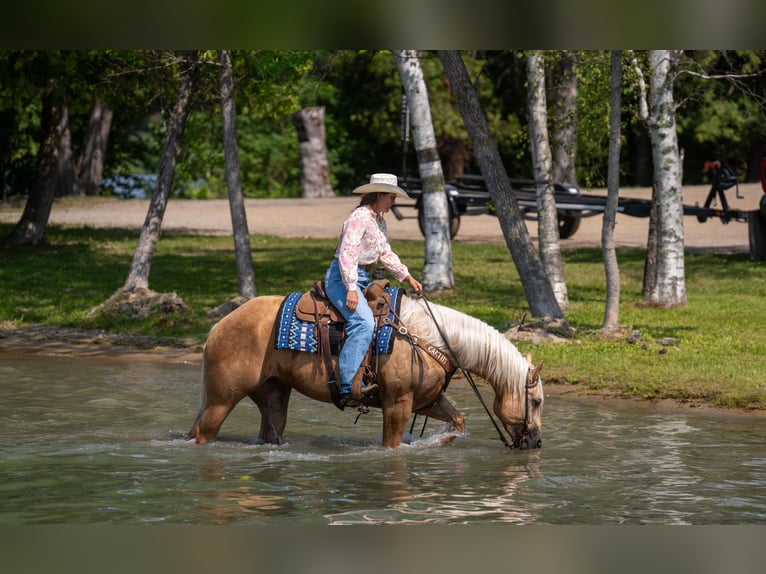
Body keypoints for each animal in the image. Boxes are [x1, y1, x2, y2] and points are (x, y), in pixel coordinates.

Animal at [187, 292, 544, 449]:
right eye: (537, 401)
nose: (537, 442)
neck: (430, 337)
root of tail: (220, 325)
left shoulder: (427, 401)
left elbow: (457, 422)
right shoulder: (397, 405)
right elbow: (391, 446)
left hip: (272, 396)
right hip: (221, 398)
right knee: (201, 433)